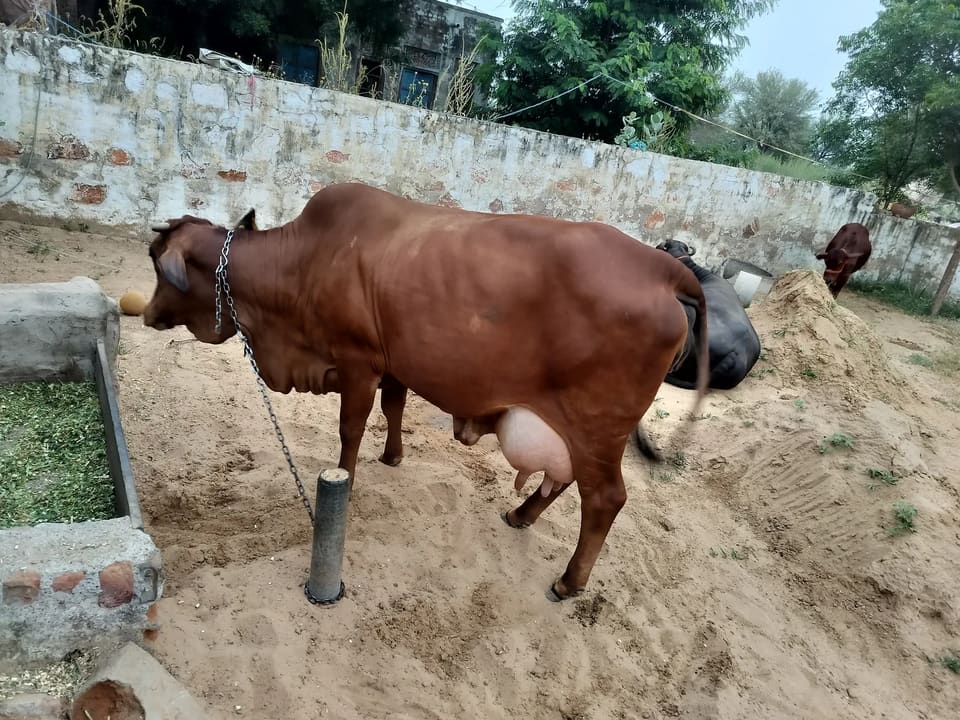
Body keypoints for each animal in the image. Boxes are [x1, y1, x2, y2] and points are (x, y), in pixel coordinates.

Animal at [142, 182, 709, 601]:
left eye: (155, 261)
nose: (145, 314)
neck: (301, 264)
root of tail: (663, 267)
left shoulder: (357, 361)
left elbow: (351, 428)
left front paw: (347, 479)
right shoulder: (393, 362)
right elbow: (394, 407)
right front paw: (392, 456)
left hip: (597, 424)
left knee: (605, 498)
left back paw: (569, 582)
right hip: (575, 427)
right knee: (566, 480)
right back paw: (520, 515)